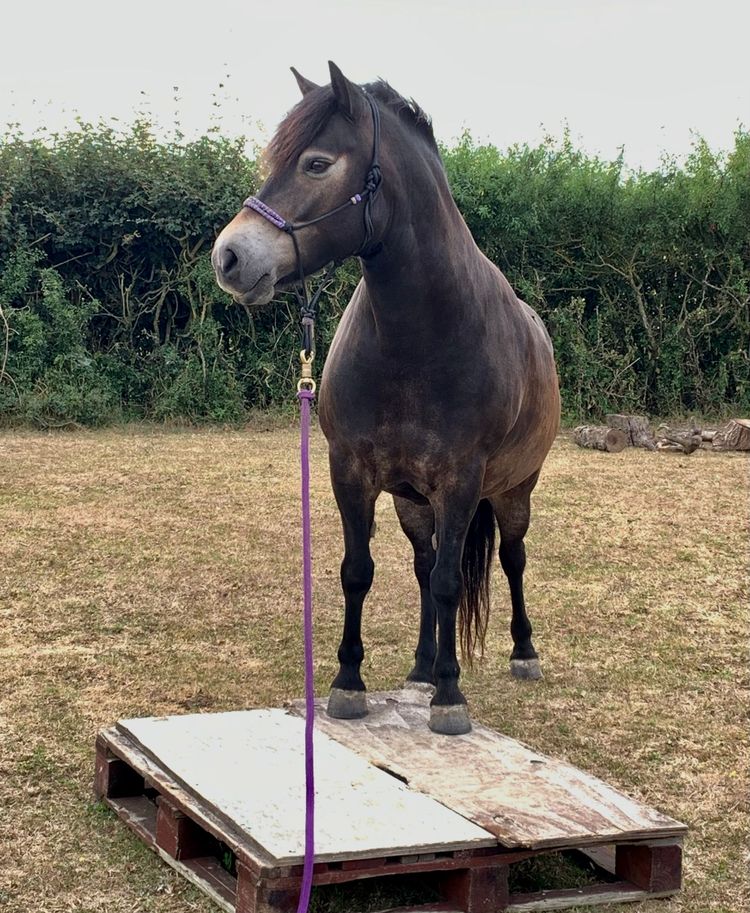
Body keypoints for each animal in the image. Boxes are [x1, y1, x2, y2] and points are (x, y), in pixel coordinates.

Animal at [212, 62, 560, 735]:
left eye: (317, 163)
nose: (230, 256)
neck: (416, 338)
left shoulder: (461, 480)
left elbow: (452, 582)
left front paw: (450, 697)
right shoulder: (351, 471)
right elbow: (360, 572)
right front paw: (350, 683)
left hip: (513, 491)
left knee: (511, 558)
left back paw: (520, 652)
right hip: (412, 501)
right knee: (425, 566)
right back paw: (423, 666)